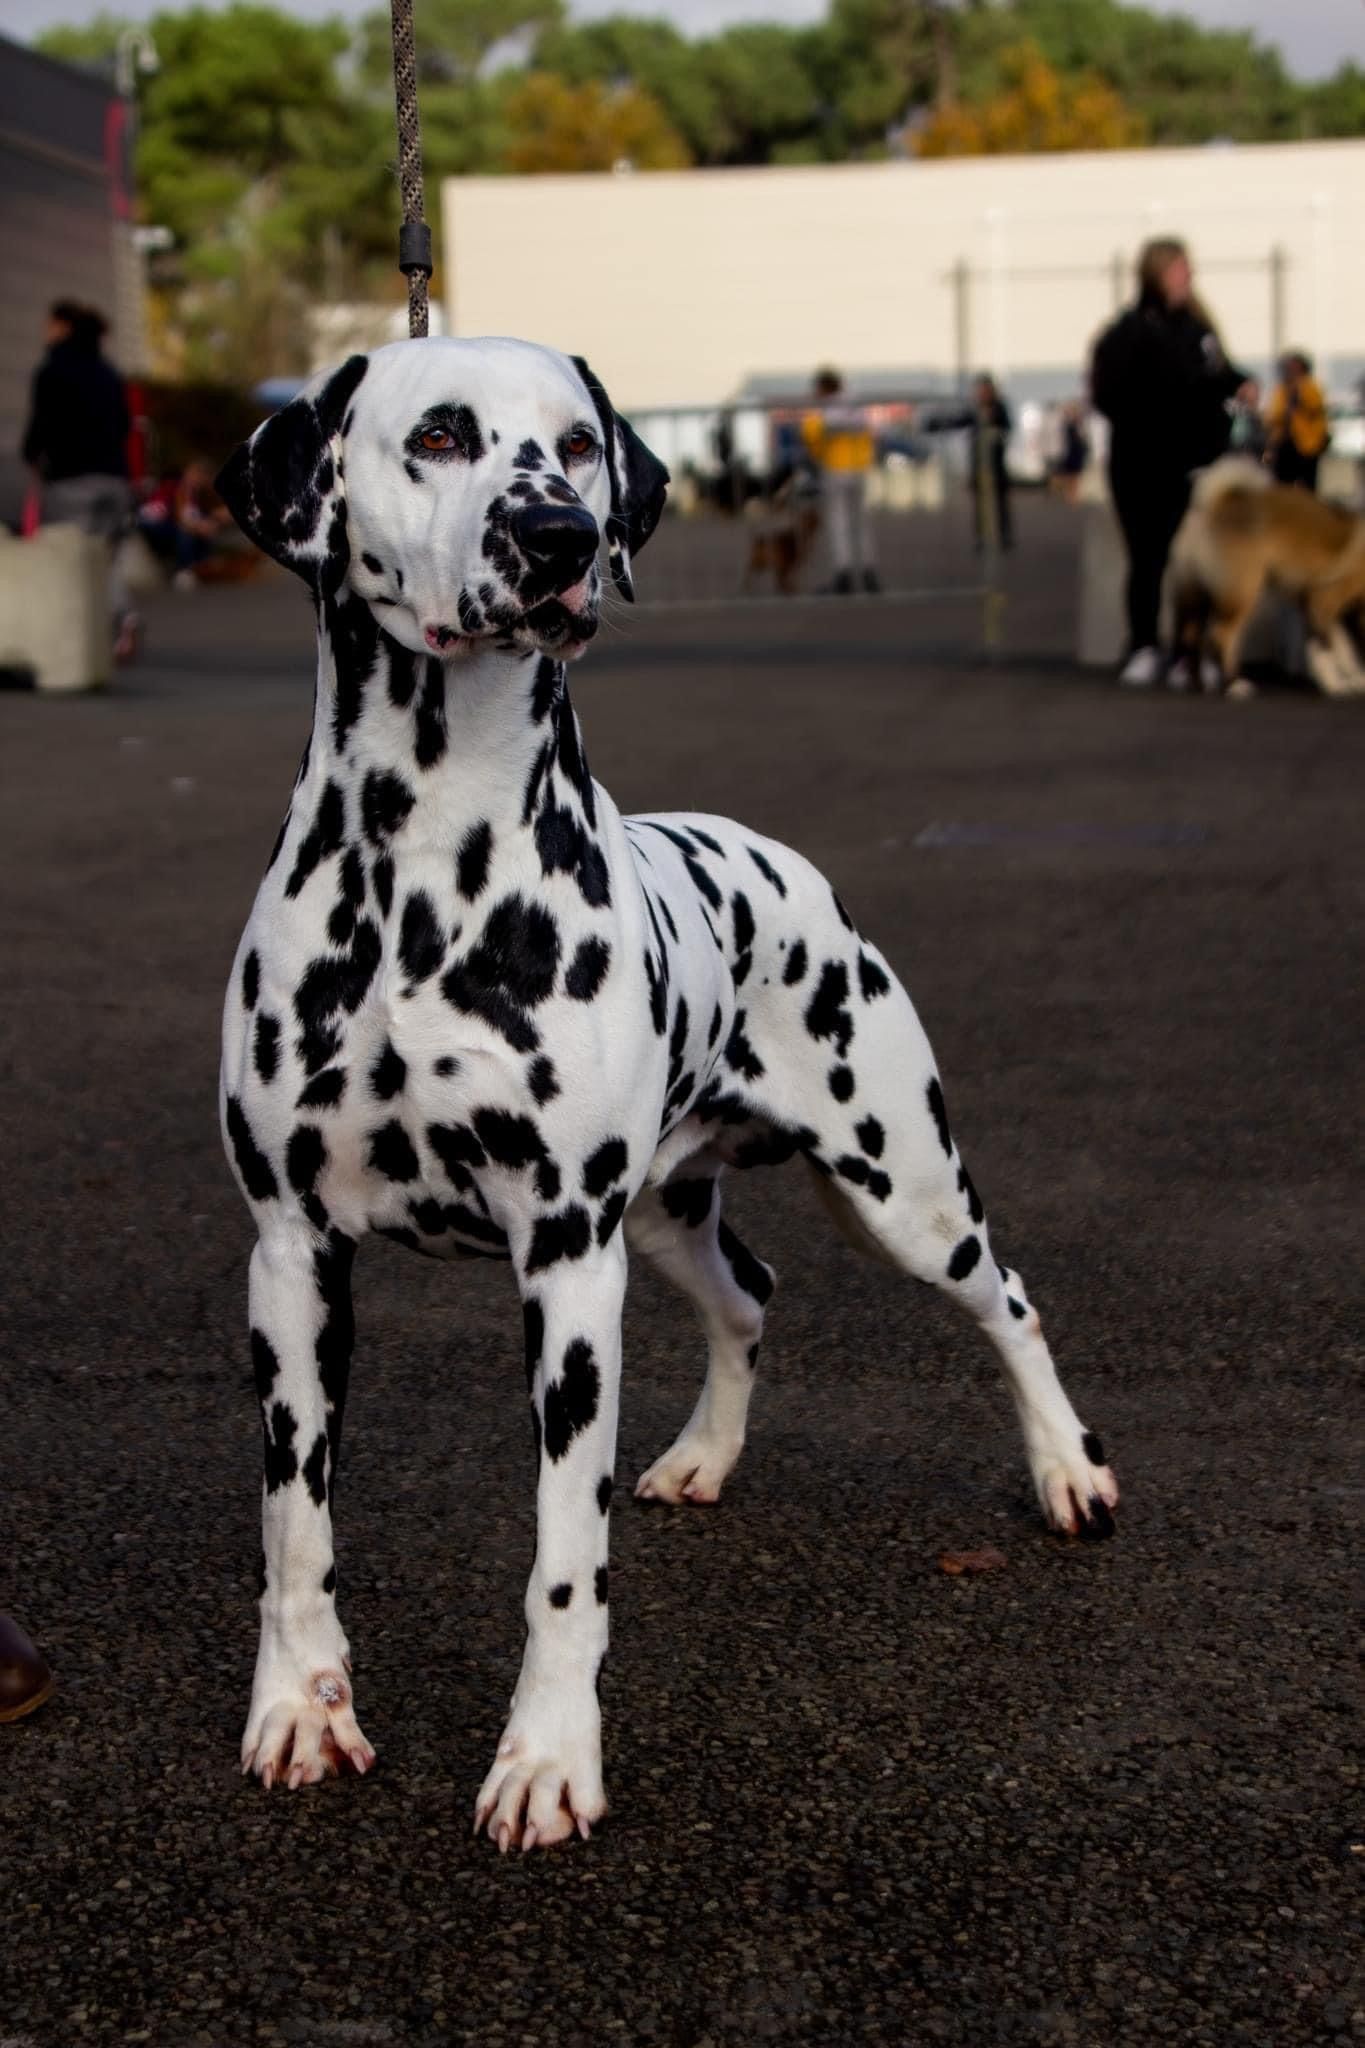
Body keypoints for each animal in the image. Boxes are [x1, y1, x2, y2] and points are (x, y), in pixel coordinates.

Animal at [215, 339, 1121, 1859]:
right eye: (440, 435)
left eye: (579, 445)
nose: (557, 540)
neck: (423, 863)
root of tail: (783, 858)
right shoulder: (292, 1254)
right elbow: (295, 1526)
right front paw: (300, 1706)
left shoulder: (568, 1269)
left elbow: (563, 1558)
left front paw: (545, 1758)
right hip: (665, 1211)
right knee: (750, 1293)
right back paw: (704, 1457)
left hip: (900, 1186)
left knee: (1009, 1300)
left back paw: (1068, 1470)